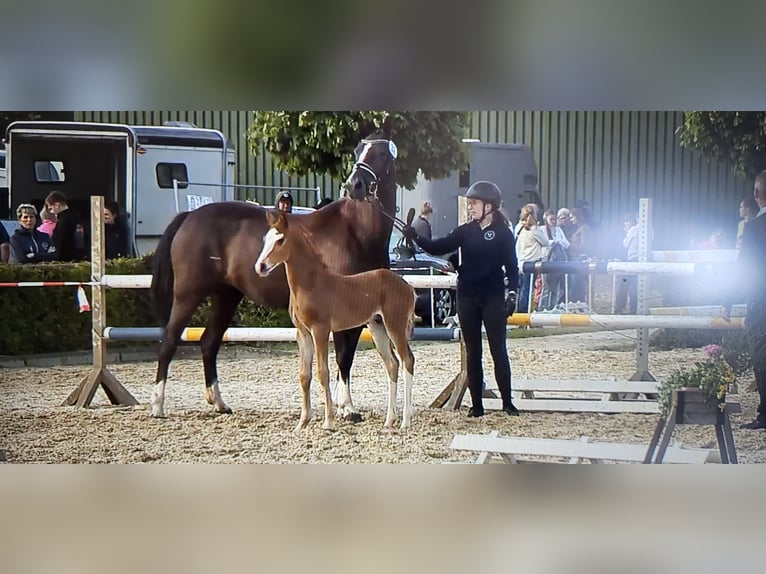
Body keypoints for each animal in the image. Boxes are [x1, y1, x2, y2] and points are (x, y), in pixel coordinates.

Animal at [149, 127, 398, 419]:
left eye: (381, 152)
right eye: (358, 150)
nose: (354, 185)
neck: (355, 231)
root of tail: (189, 216)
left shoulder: (362, 312)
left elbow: (347, 358)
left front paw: (344, 405)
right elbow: (342, 355)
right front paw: (346, 408)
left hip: (226, 296)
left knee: (209, 342)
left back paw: (219, 402)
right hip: (188, 294)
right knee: (169, 341)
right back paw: (157, 405)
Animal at [255, 210, 416, 430]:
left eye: (280, 240)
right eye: (265, 239)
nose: (260, 267)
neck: (311, 284)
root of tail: (408, 287)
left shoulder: (320, 330)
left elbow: (323, 372)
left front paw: (328, 422)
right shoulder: (302, 333)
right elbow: (304, 375)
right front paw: (302, 423)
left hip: (395, 326)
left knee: (407, 360)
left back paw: (405, 422)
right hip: (378, 328)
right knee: (392, 364)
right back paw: (389, 420)